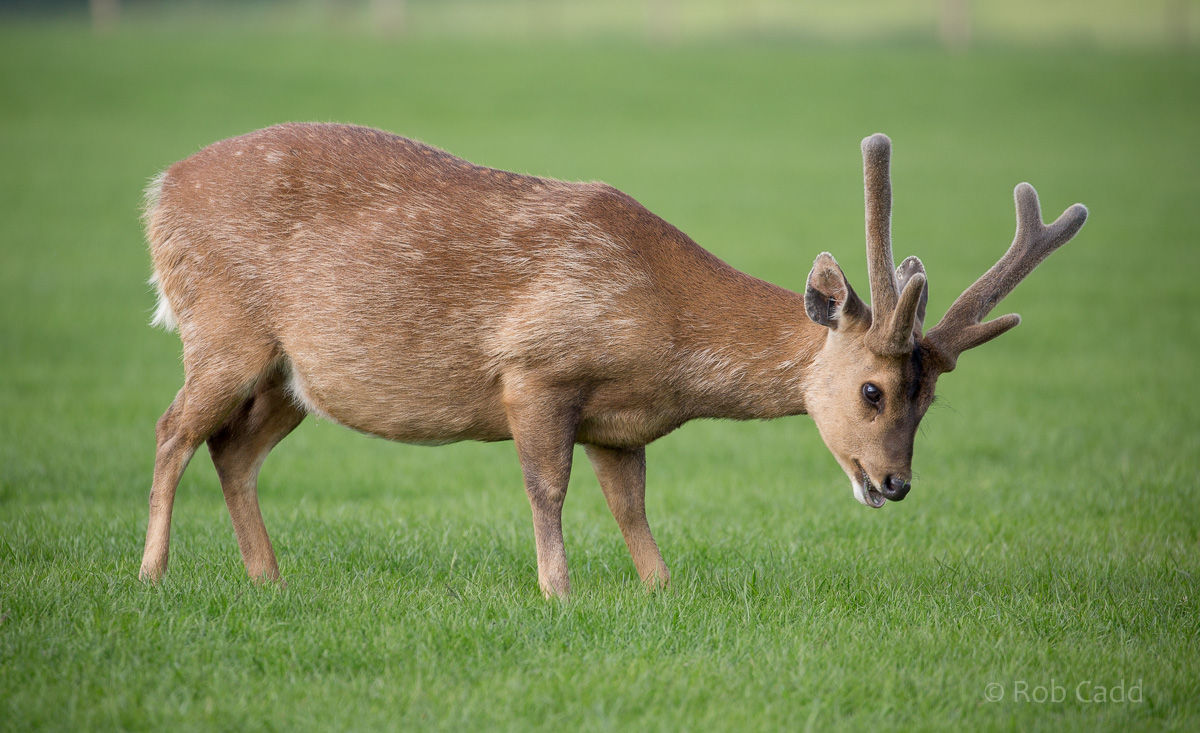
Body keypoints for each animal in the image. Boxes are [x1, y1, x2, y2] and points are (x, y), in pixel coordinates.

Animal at [138, 124, 1087, 598]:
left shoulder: (621, 423)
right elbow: (546, 489)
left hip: (290, 375)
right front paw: (558, 594)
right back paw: (152, 573)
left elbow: (631, 507)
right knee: (172, 428)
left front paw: (660, 590)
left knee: (231, 448)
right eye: (873, 389)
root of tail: (154, 193)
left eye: (928, 403)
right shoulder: (536, 371)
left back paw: (269, 579)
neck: (664, 325)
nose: (895, 482)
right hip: (222, 328)